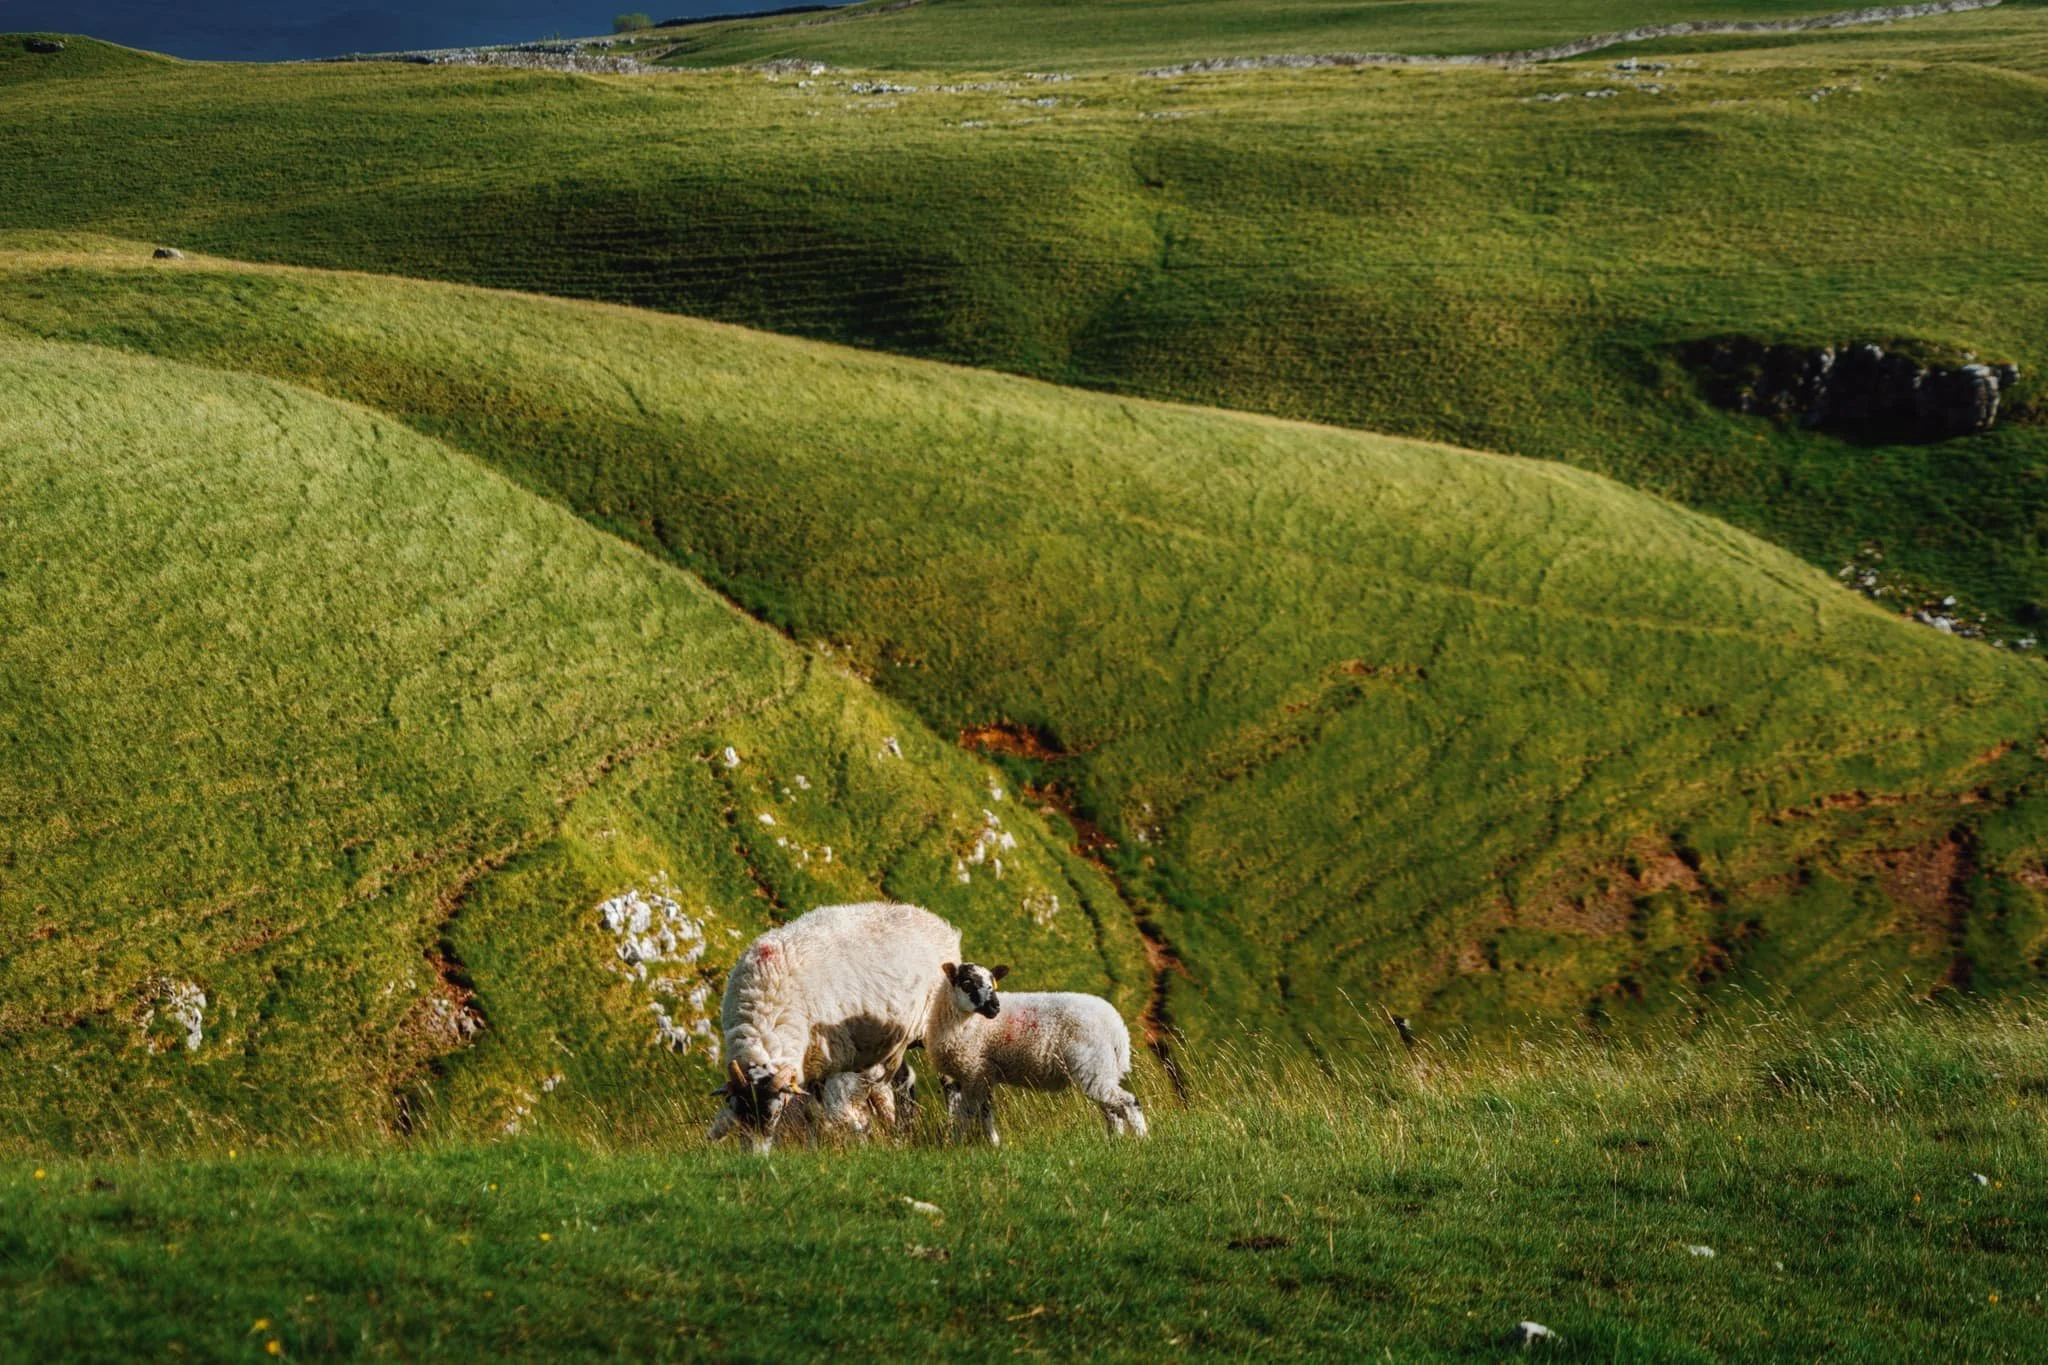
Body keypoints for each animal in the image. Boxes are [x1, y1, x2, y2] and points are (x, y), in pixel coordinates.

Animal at [707, 901, 959, 1151]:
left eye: (774, 1113)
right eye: (738, 1113)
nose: (754, 1156)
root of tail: (932, 919)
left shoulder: (831, 1061)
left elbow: (819, 1111)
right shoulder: (811, 1066)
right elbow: (811, 1113)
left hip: (936, 1024)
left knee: (949, 1081)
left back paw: (950, 1133)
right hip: (889, 1045)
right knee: (905, 1080)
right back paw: (902, 1136)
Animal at [926, 962, 1148, 1146]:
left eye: (993, 983)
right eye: (967, 982)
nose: (995, 1007)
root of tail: (1117, 1028)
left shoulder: (974, 1071)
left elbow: (968, 1113)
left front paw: (958, 1145)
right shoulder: (979, 1074)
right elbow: (983, 1111)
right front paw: (992, 1144)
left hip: (1093, 1067)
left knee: (1128, 1102)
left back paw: (1141, 1139)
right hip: (1103, 1070)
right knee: (1112, 1110)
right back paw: (1114, 1141)